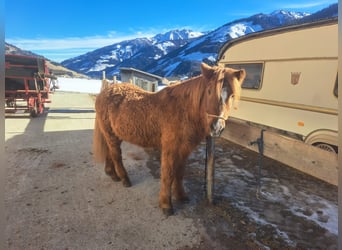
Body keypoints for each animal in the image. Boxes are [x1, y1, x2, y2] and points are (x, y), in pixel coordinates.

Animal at [92, 62, 244, 215]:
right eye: (209, 91)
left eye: (232, 95)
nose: (217, 127)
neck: (183, 110)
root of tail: (104, 93)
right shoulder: (170, 149)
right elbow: (168, 174)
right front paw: (166, 205)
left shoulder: (184, 149)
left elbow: (179, 173)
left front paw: (181, 196)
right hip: (111, 135)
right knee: (116, 155)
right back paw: (124, 179)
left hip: (114, 134)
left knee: (110, 152)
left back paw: (112, 174)